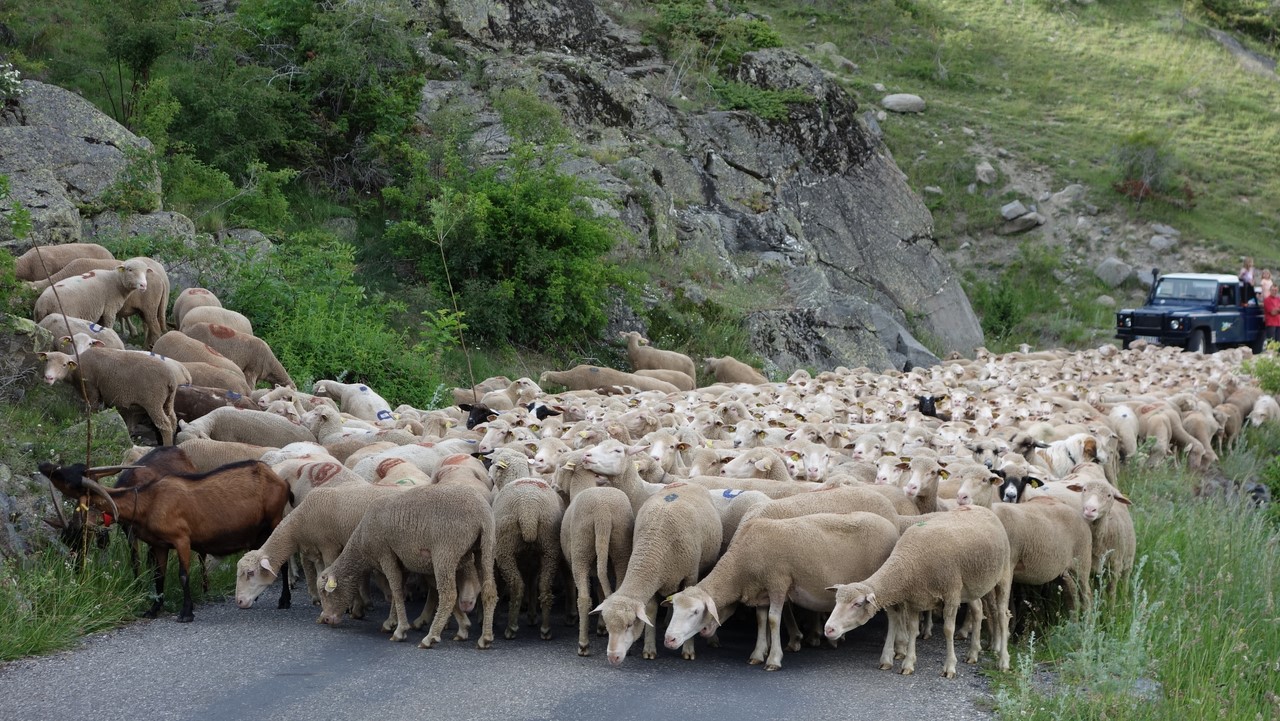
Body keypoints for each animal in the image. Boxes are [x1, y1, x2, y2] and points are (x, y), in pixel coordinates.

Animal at [41, 463, 291, 619]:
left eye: (69, 477)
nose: (43, 465)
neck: (148, 502)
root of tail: (279, 479)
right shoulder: (159, 545)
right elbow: (158, 576)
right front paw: (153, 609)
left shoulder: (181, 539)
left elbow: (183, 575)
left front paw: (186, 612)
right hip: (257, 531)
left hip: (275, 520)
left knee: (284, 562)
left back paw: (285, 600)